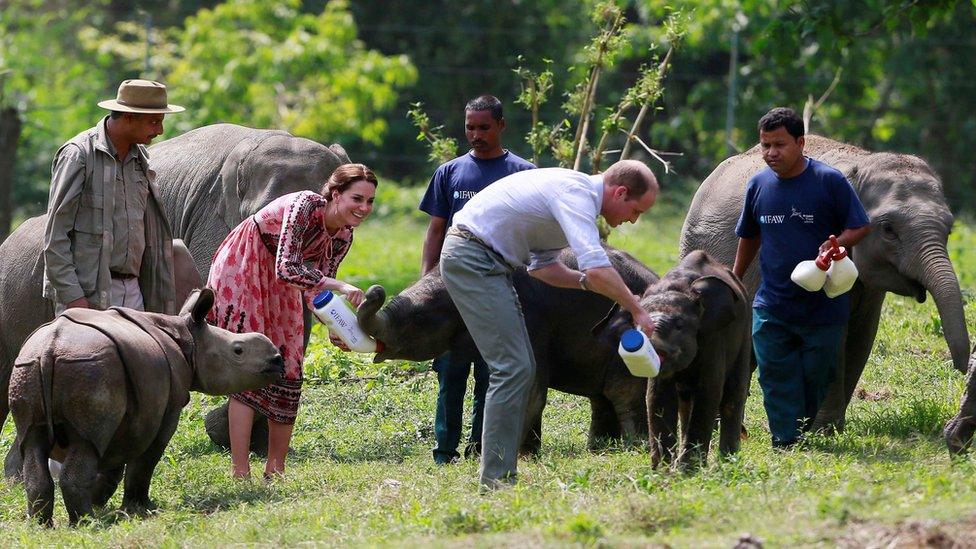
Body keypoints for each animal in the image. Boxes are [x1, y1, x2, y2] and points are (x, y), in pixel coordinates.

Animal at [8, 288, 282, 524]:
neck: (190, 339)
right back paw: (86, 523)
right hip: (90, 367)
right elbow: (147, 458)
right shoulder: (167, 407)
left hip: (29, 367)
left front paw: (101, 502)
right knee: (86, 444)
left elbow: (115, 461)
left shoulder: (129, 415)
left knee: (32, 440)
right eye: (238, 351)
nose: (278, 360)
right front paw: (142, 508)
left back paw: (43, 524)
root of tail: (50, 349)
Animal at [608, 249, 752, 466]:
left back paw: (728, 461)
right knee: (685, 402)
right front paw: (663, 469)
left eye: (679, 325)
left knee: (733, 394)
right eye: (638, 326)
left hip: (744, 331)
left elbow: (708, 392)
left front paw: (688, 469)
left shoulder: (713, 336)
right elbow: (657, 396)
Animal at [680, 134, 968, 432]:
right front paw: (824, 431)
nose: (960, 367)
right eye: (888, 229)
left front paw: (827, 428)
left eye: (949, 229)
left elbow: (862, 335)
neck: (863, 161)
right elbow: (835, 337)